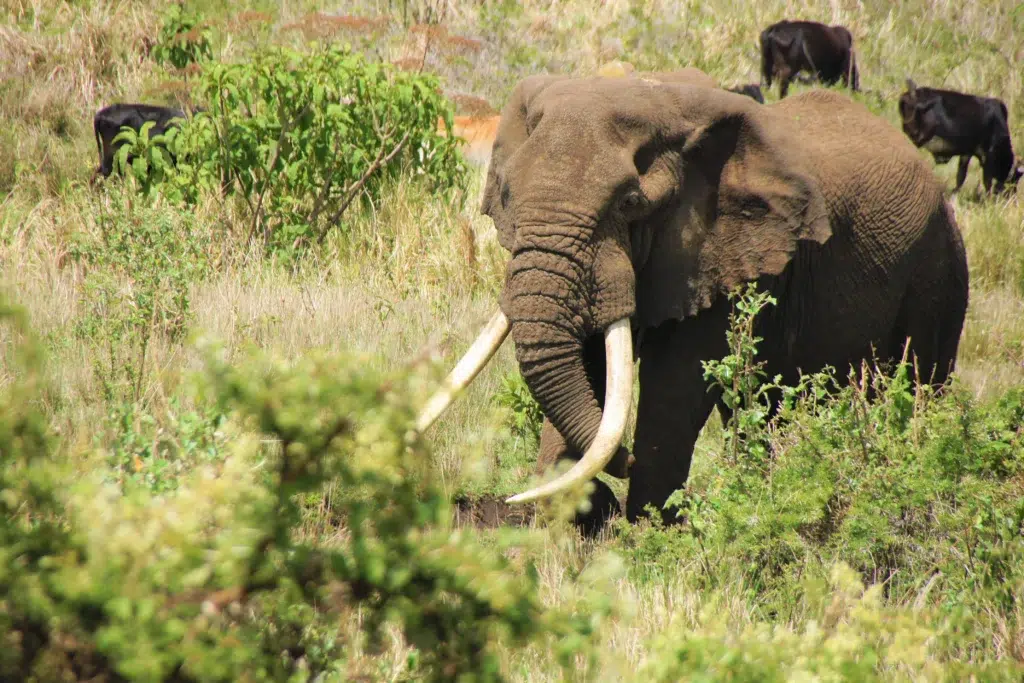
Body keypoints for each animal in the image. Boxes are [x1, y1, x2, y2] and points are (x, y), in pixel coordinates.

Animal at [413, 68, 966, 528]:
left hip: (939, 271)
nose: (622, 464)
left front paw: (646, 535)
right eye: (507, 195)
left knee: (919, 387)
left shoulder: (724, 252)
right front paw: (565, 517)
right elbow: (589, 364)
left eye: (630, 203)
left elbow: (675, 383)